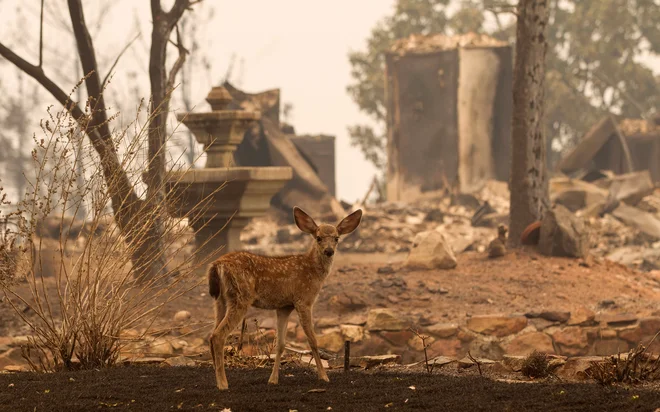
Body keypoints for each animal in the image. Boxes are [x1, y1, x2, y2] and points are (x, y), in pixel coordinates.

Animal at [208, 206, 364, 390]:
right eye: (318, 238)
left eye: (336, 238)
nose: (329, 251)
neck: (312, 270)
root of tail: (217, 265)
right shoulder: (304, 300)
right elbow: (312, 340)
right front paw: (324, 376)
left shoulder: (284, 306)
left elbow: (280, 344)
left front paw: (273, 379)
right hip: (240, 296)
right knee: (218, 335)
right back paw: (223, 383)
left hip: (221, 300)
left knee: (211, 334)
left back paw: (217, 379)